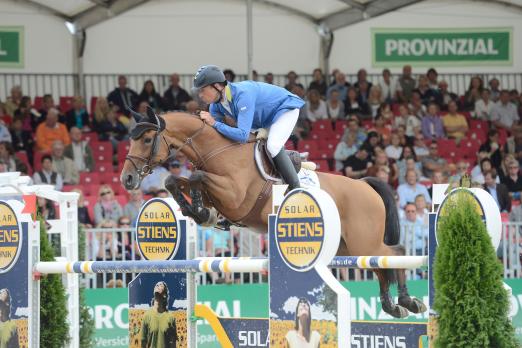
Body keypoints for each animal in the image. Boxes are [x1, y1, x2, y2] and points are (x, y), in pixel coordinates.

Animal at [122, 109, 426, 318]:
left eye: (147, 139)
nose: (127, 179)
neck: (217, 152)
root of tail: (364, 184)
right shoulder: (217, 194)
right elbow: (174, 180)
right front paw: (197, 211)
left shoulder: (233, 196)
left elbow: (196, 177)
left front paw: (198, 209)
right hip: (347, 246)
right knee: (380, 265)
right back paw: (394, 306)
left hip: (363, 241)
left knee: (394, 254)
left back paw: (407, 301)